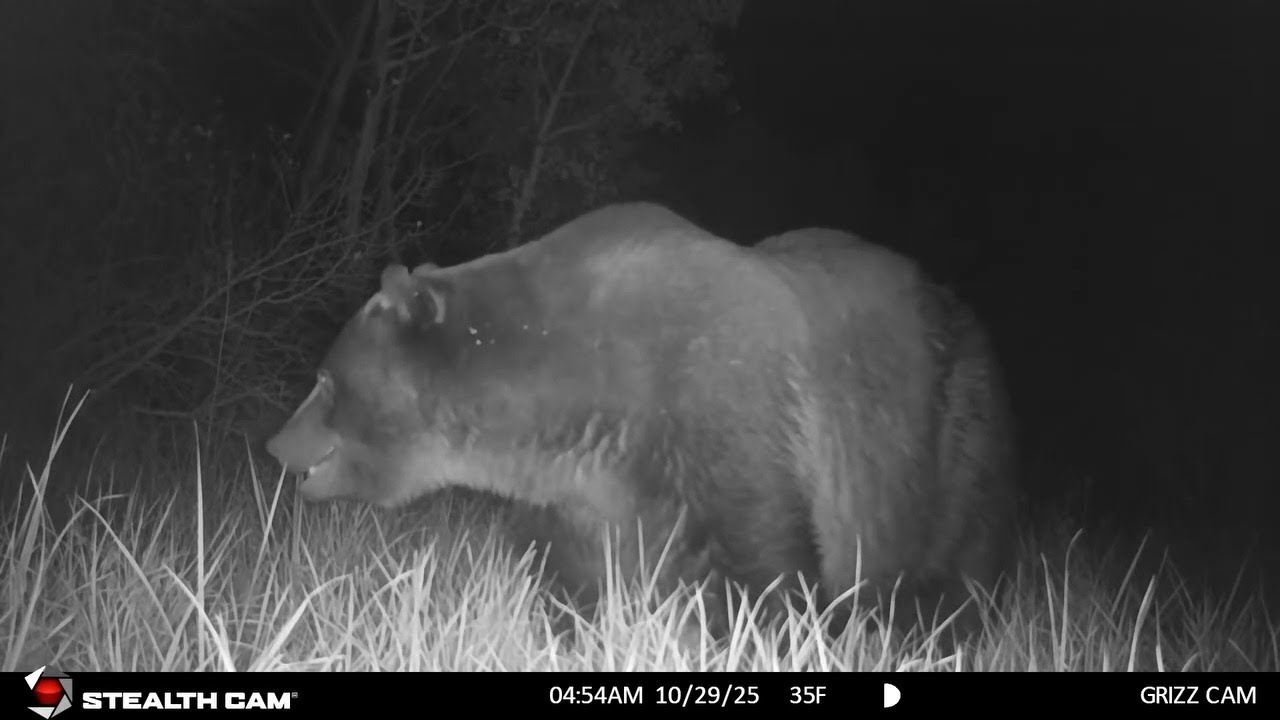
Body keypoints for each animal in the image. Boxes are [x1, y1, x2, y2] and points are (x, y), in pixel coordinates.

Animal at [264, 201, 1017, 641]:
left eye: (323, 379)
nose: (276, 444)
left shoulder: (726, 412)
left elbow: (764, 566)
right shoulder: (577, 487)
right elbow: (570, 577)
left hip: (948, 434)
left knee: (954, 564)